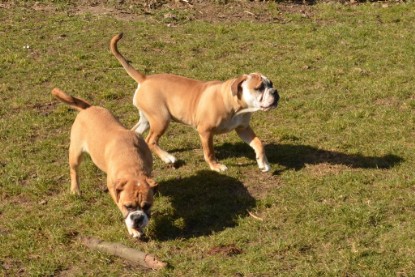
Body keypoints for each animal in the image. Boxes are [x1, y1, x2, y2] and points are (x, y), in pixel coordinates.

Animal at [50, 88, 158, 237]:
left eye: (147, 206)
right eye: (128, 206)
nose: (137, 218)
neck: (132, 166)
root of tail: (88, 108)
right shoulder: (115, 192)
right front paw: (134, 230)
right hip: (75, 154)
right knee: (74, 171)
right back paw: (75, 190)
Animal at [110, 33, 280, 171]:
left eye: (271, 84)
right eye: (259, 88)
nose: (275, 91)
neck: (236, 106)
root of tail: (144, 79)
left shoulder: (243, 128)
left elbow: (258, 143)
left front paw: (263, 163)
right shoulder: (205, 131)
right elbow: (209, 151)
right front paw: (216, 166)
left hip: (147, 118)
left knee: (136, 133)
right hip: (161, 119)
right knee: (151, 140)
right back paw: (168, 158)